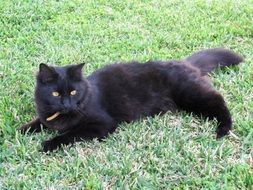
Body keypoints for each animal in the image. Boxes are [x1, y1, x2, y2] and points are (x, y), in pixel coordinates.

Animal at [19, 48, 243, 152]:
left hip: (191, 95)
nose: (66, 104)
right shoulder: (46, 116)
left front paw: (49, 144)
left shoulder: (101, 124)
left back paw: (223, 129)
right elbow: (39, 122)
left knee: (219, 101)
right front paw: (22, 130)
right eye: (56, 94)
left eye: (73, 92)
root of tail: (184, 62)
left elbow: (71, 134)